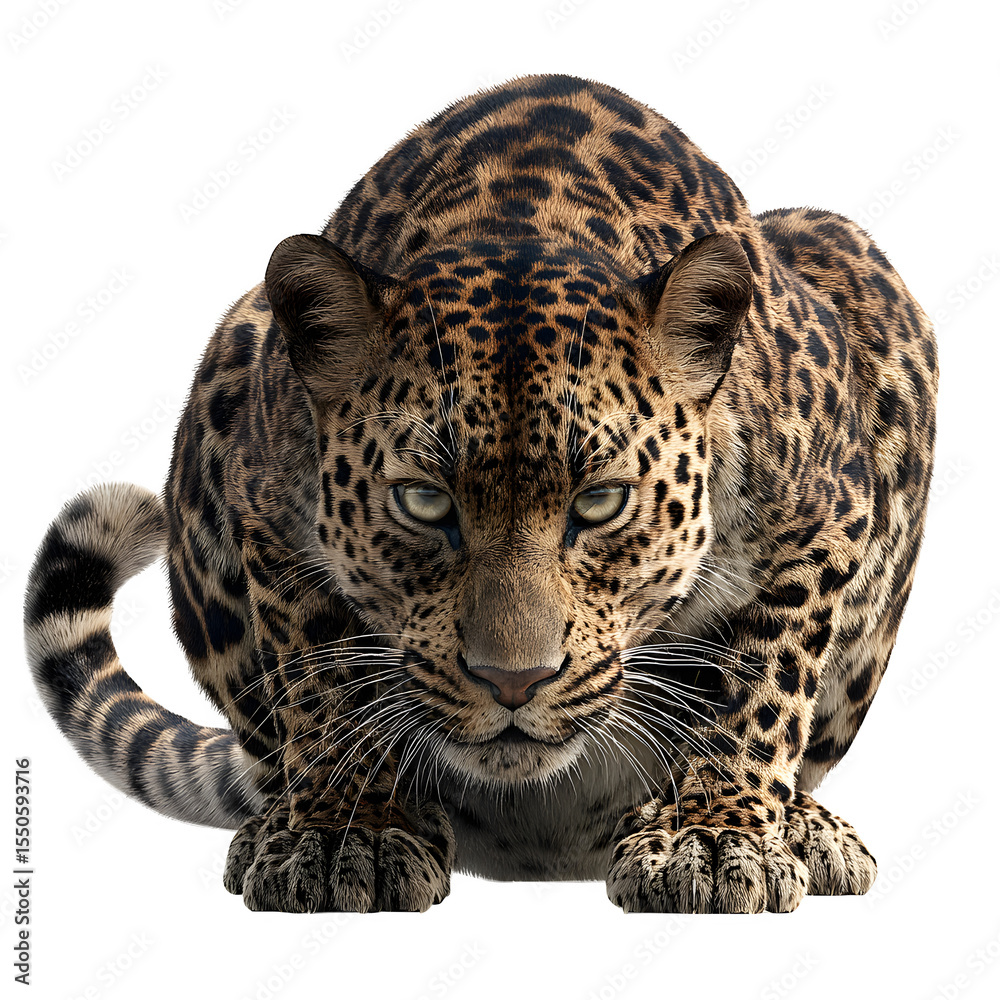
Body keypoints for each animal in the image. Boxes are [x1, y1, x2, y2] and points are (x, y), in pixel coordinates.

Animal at [24, 74, 937, 913]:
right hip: (234, 343)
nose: (512, 684)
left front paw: (712, 835)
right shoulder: (267, 513)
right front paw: (346, 831)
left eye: (600, 503)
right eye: (424, 503)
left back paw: (811, 829)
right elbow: (321, 678)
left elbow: (761, 682)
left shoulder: (826, 517)